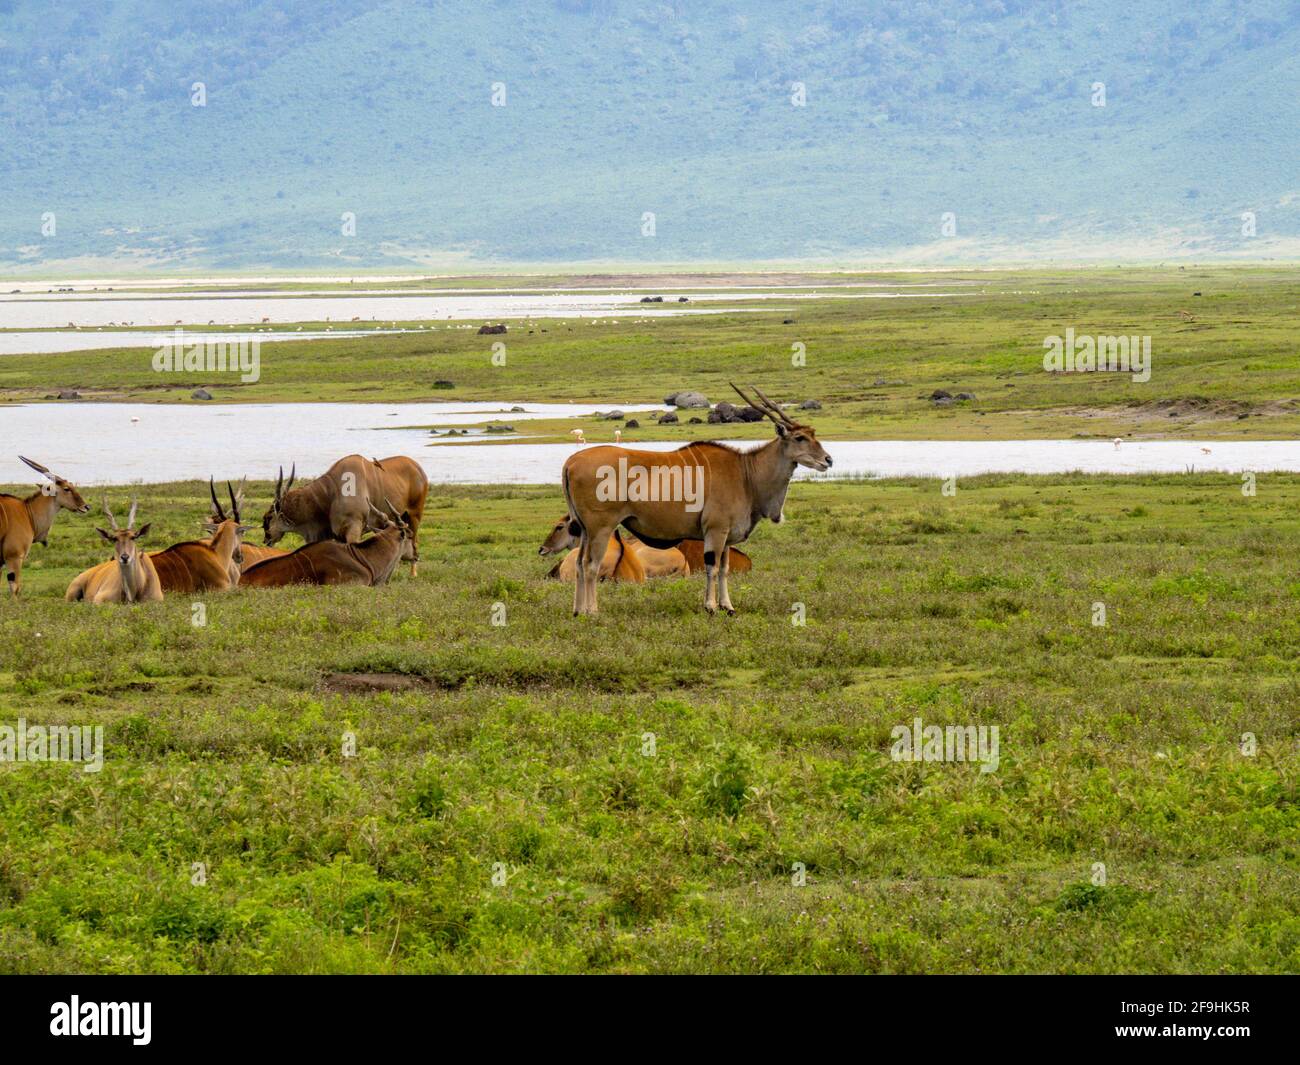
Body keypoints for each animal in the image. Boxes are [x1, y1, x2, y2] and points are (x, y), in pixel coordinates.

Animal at [261, 455, 428, 579]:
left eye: (268, 517)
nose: (266, 540)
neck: (330, 492)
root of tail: (419, 468)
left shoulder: (354, 529)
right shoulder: (338, 535)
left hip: (414, 515)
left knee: (415, 542)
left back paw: (413, 574)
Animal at [561, 382, 832, 616]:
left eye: (813, 434)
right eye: (800, 438)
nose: (828, 460)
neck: (745, 473)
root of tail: (571, 462)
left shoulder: (726, 536)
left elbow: (724, 569)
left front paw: (727, 606)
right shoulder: (715, 531)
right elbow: (712, 567)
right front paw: (710, 607)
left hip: (585, 531)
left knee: (579, 564)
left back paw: (577, 611)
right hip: (601, 527)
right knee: (591, 565)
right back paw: (592, 611)